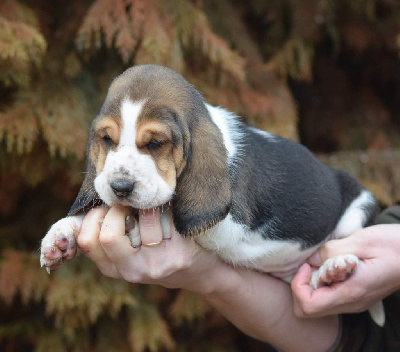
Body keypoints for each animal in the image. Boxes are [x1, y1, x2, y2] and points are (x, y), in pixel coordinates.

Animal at [41, 64, 384, 324]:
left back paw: (335, 268)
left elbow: (169, 217)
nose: (120, 187)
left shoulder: (232, 228)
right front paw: (61, 236)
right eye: (107, 140)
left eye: (154, 143)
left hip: (357, 209)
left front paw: (133, 227)